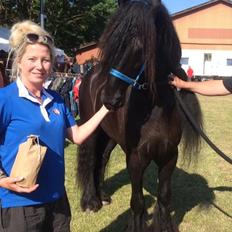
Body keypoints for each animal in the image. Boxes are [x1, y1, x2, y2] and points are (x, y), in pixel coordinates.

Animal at [77, 0, 202, 231]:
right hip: (92, 130)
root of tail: (89, 75)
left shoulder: (169, 157)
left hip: (110, 137)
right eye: (113, 42)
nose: (109, 98)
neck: (155, 112)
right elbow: (137, 202)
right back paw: (91, 201)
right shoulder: (135, 159)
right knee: (90, 160)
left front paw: (165, 226)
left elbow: (164, 197)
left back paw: (103, 195)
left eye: (140, 44)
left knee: (102, 159)